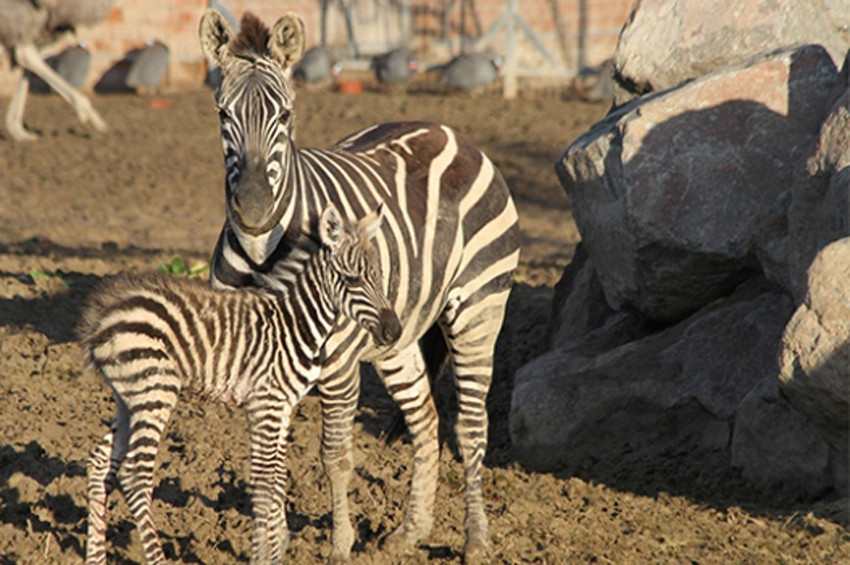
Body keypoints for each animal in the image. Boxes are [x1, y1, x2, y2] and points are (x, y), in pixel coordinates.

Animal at [80, 205, 401, 565]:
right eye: (353, 279)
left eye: (380, 276)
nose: (394, 331)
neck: (295, 323)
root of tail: (103, 316)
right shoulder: (266, 404)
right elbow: (264, 481)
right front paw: (263, 556)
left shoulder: (283, 407)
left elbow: (277, 479)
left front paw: (274, 553)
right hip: (156, 391)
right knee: (135, 475)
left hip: (129, 399)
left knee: (99, 464)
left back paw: (95, 558)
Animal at [199, 10, 521, 563]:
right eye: (223, 114)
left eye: (286, 115)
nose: (255, 208)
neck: (264, 254)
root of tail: (448, 131)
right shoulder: (255, 364)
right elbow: (266, 459)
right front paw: (273, 543)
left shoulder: (338, 365)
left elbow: (334, 456)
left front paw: (339, 544)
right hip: (397, 334)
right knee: (426, 419)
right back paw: (411, 531)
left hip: (479, 309)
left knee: (470, 427)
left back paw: (475, 539)